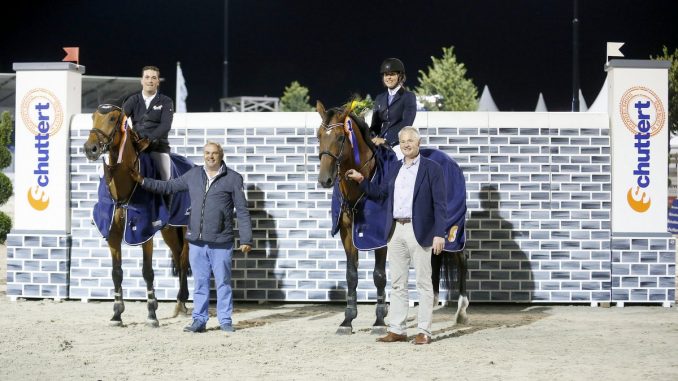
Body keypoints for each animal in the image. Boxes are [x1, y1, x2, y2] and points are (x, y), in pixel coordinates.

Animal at [85, 102, 193, 326]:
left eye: (112, 119)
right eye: (92, 117)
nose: (90, 149)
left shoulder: (145, 233)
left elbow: (147, 272)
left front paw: (152, 314)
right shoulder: (113, 234)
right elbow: (116, 272)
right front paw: (117, 314)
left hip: (185, 226)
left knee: (183, 258)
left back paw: (181, 301)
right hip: (169, 231)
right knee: (178, 256)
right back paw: (180, 304)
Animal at [318, 99, 468, 334]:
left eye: (341, 137)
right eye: (318, 136)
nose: (324, 179)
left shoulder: (381, 236)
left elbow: (379, 275)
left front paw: (380, 320)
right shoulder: (346, 233)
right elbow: (351, 275)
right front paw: (347, 320)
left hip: (453, 228)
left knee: (462, 258)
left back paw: (461, 311)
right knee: (433, 259)